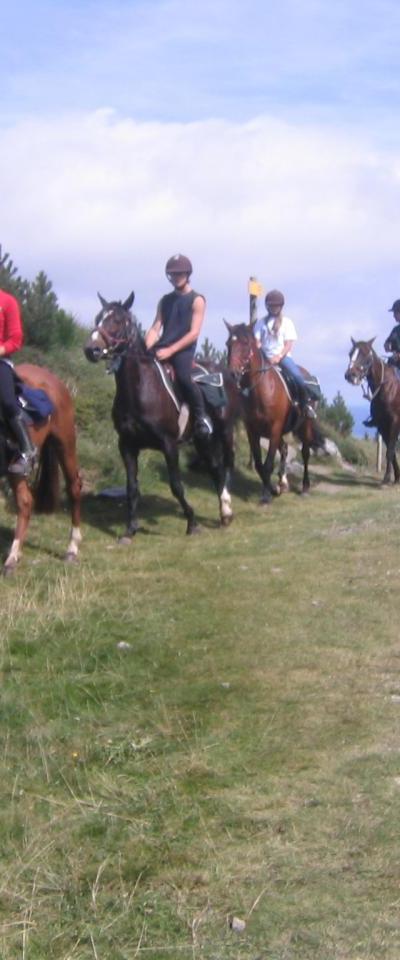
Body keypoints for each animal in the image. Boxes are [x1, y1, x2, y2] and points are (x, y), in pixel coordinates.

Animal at [84, 292, 239, 536]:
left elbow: (176, 486)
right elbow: (131, 488)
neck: (140, 389)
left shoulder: (169, 444)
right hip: (202, 440)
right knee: (215, 468)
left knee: (226, 465)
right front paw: (130, 529)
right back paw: (223, 513)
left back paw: (226, 509)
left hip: (225, 432)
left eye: (117, 320)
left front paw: (192, 522)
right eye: (98, 318)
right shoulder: (127, 445)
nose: (92, 349)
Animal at [225, 322, 324, 502]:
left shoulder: (275, 428)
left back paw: (305, 487)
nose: (232, 373)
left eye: (245, 343)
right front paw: (272, 489)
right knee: (284, 449)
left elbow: (268, 463)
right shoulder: (252, 431)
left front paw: (266, 496)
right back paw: (282, 483)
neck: (262, 390)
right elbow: (259, 464)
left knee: (305, 453)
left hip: (304, 426)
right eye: (228, 344)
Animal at [344, 340, 400, 488]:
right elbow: (391, 452)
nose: (350, 375)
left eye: (364, 354)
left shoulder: (394, 422)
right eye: (350, 353)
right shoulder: (382, 425)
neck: (386, 387)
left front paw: (387, 478)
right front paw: (396, 478)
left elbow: (390, 450)